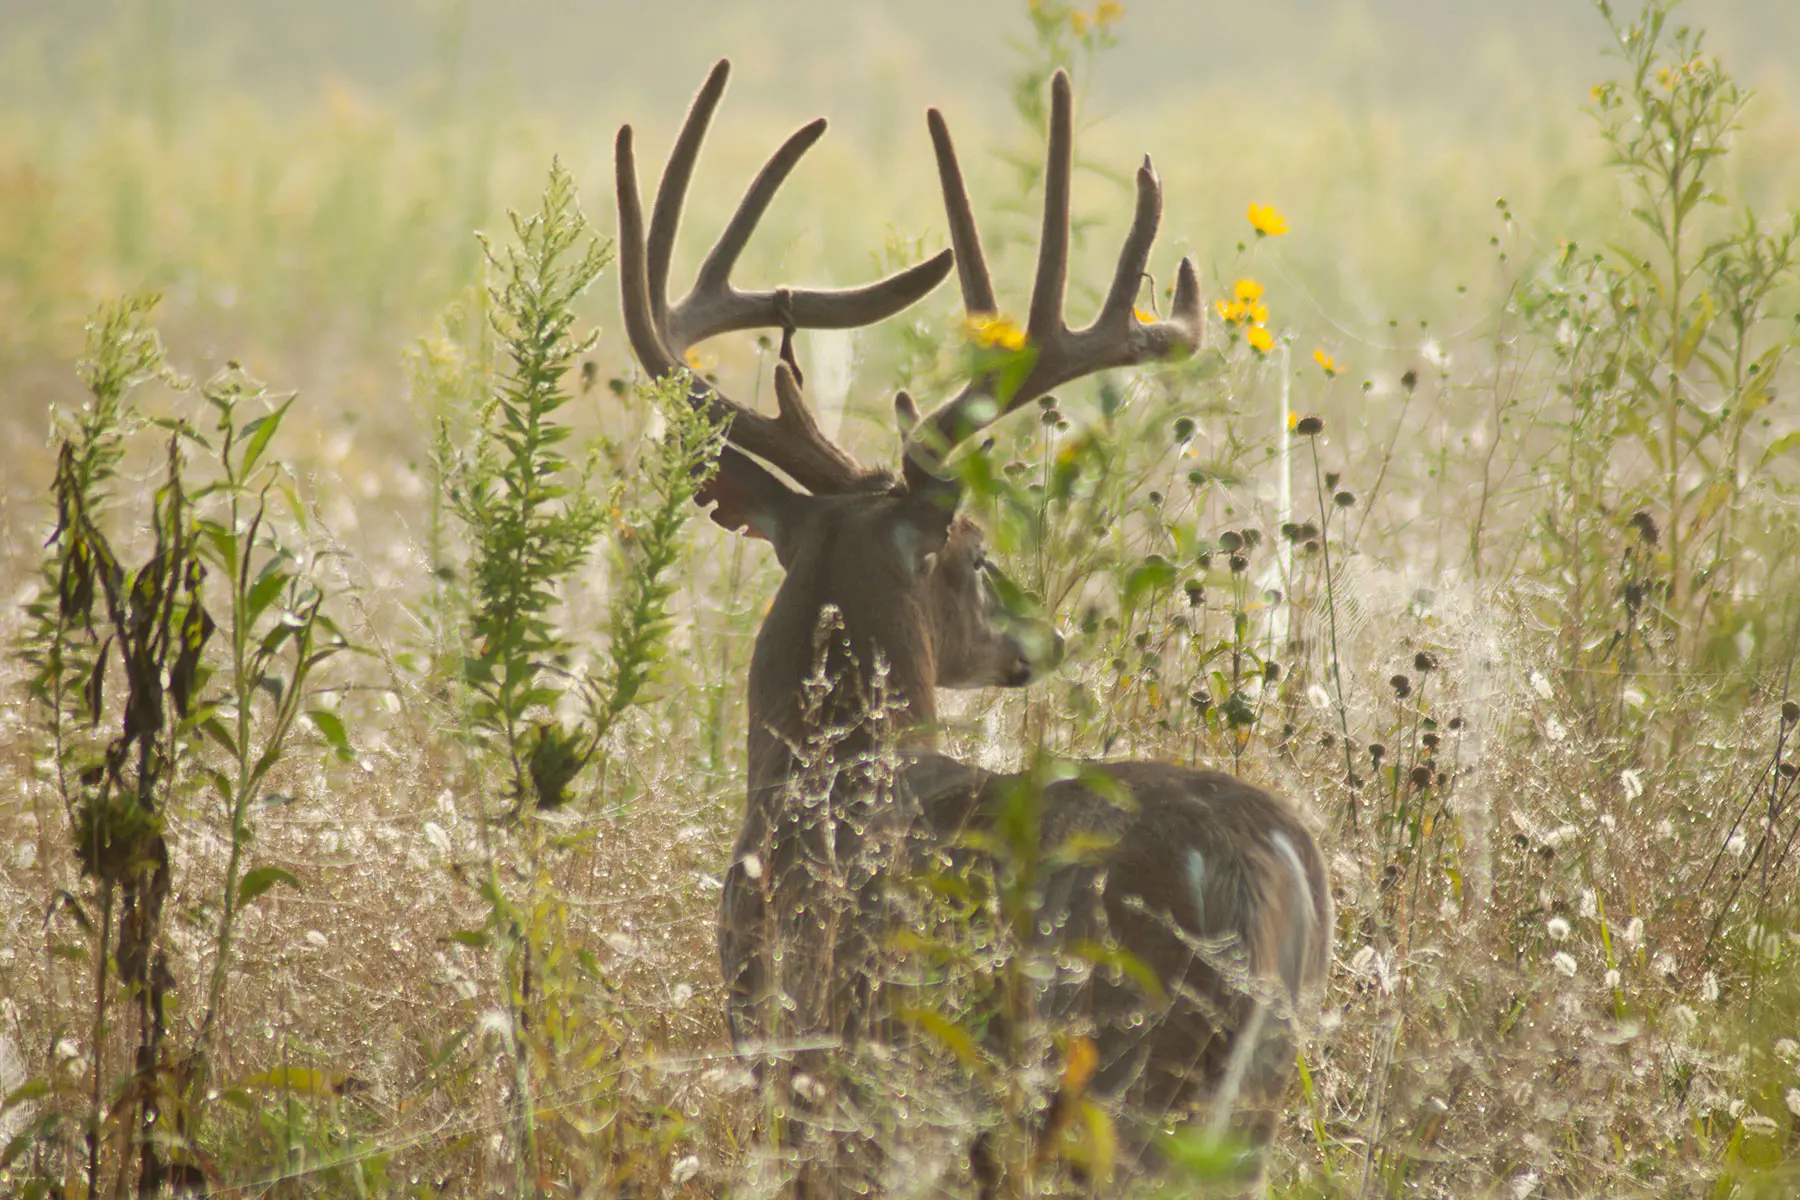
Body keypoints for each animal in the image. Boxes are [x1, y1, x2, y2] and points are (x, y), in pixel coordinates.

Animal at [619, 63, 1339, 1194]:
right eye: (980, 556)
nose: (1041, 638)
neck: (821, 772)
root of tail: (1269, 861)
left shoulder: (802, 1054)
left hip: (1122, 1083)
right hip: (1248, 1100)